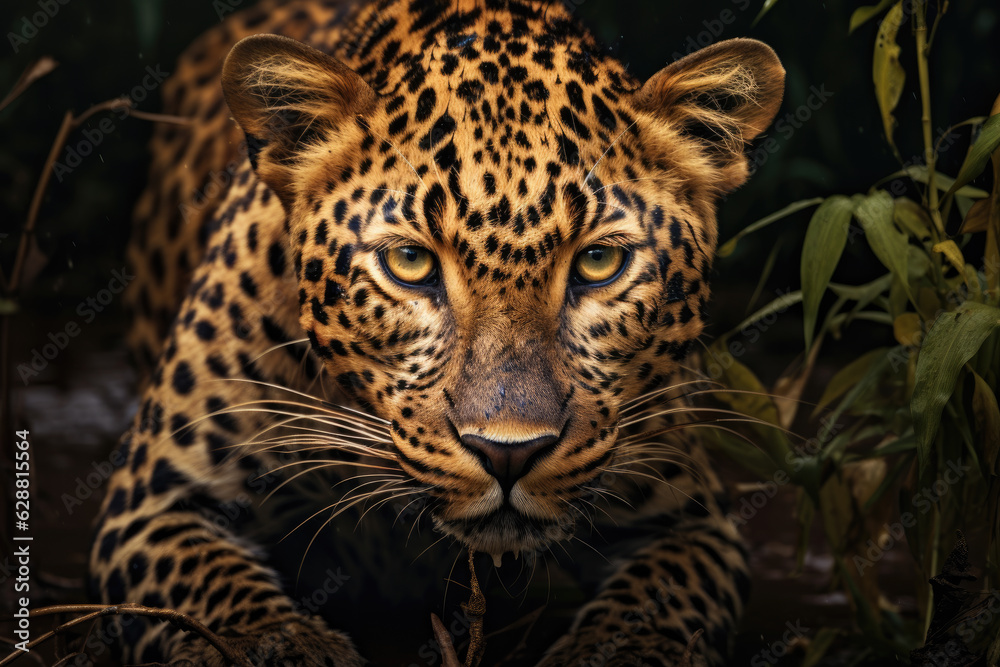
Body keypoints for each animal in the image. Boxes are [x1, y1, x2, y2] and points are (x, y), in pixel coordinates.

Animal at [90, 0, 785, 665]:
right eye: (410, 262)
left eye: (598, 262)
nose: (509, 453)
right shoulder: (155, 498)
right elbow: (222, 598)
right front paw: (283, 646)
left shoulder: (692, 522)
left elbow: (654, 607)